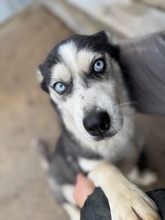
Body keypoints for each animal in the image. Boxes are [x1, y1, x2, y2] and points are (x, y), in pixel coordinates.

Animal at [37, 31, 159, 220]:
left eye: (98, 64)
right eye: (60, 86)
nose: (96, 124)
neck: (115, 144)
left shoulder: (136, 146)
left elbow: (134, 167)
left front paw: (143, 176)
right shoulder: (86, 165)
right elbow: (105, 167)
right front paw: (128, 200)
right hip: (64, 188)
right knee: (66, 203)